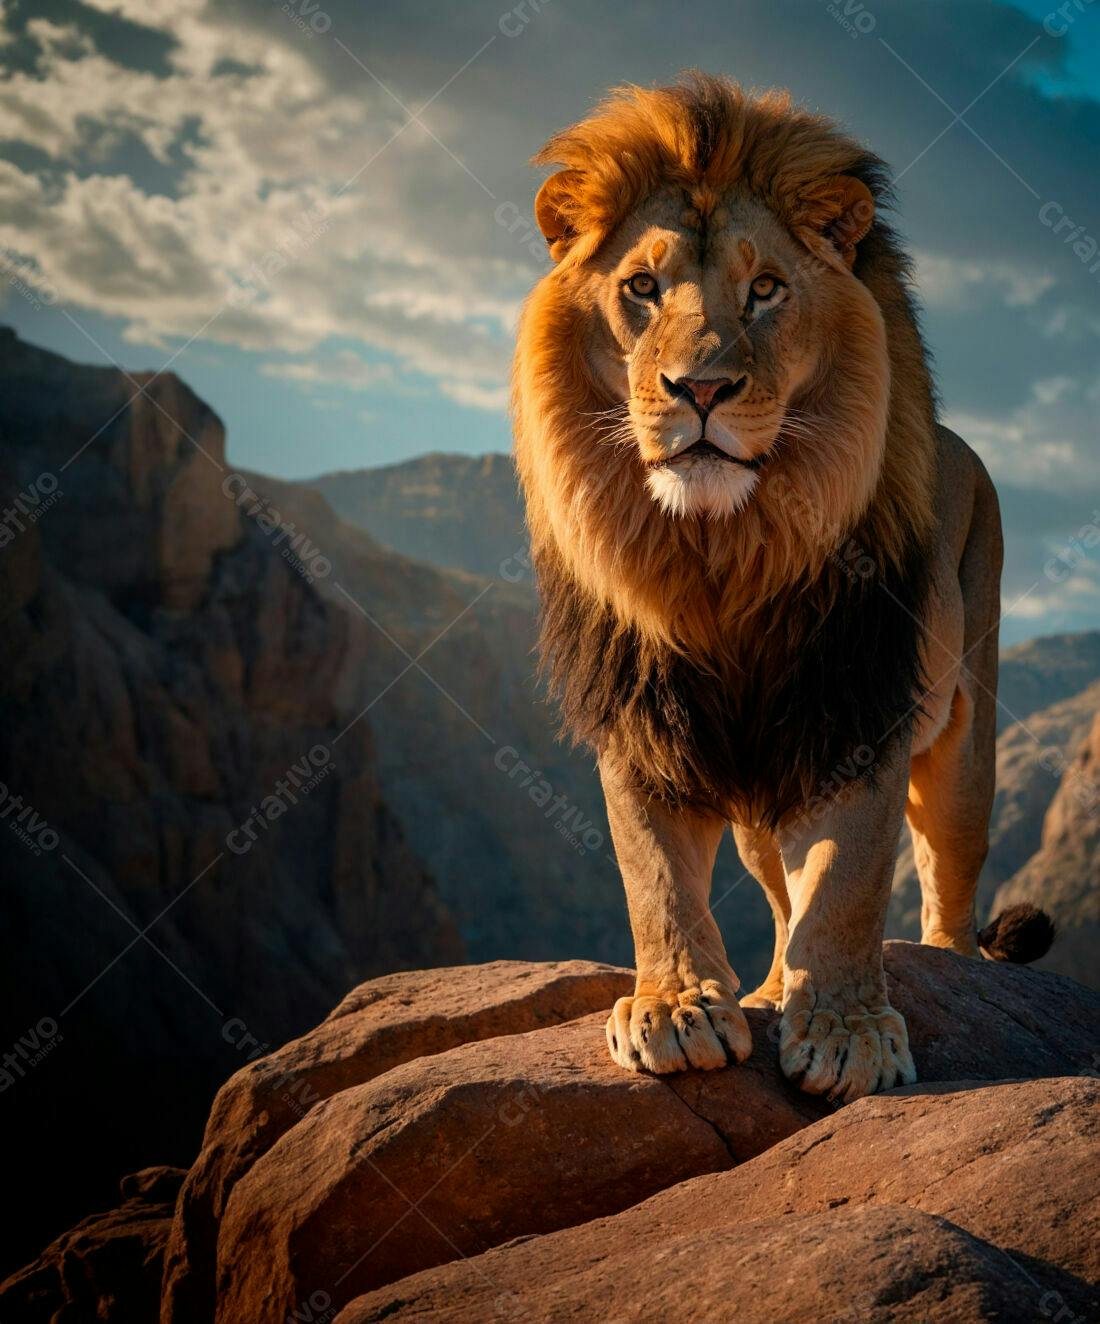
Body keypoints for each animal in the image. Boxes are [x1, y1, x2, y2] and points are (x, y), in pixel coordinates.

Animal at [512, 74, 1054, 1103]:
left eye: (765, 289)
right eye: (640, 289)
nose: (700, 390)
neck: (721, 551)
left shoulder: (855, 710)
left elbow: (847, 886)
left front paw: (846, 1033)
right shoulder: (644, 717)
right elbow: (656, 877)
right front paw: (677, 1006)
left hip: (965, 740)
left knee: (947, 871)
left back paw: (946, 961)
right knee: (775, 891)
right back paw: (765, 987)